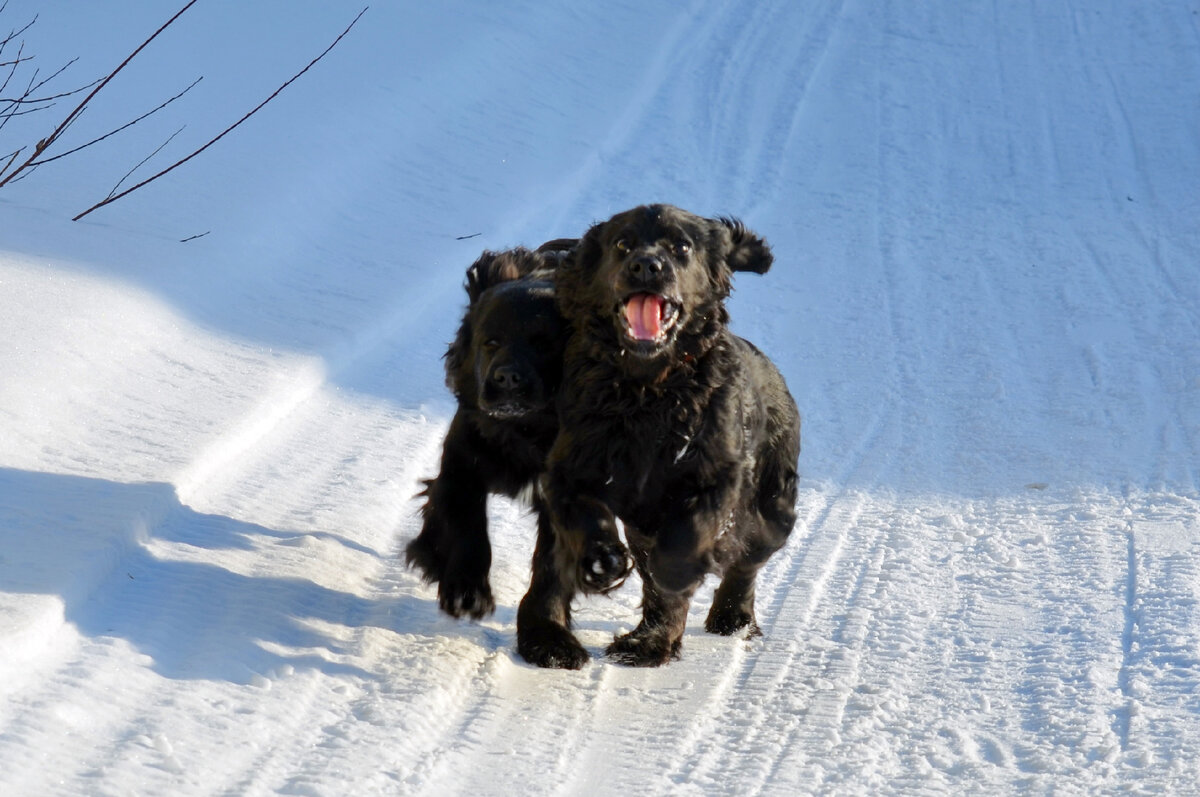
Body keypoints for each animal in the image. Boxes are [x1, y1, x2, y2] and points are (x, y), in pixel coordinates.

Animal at [518, 204, 806, 667]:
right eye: (622, 243)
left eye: (682, 247)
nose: (646, 266)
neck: (647, 391)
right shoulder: (572, 466)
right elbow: (585, 514)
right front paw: (600, 563)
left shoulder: (718, 473)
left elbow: (689, 538)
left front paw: (679, 571)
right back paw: (647, 642)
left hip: (774, 507)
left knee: (746, 561)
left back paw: (730, 616)